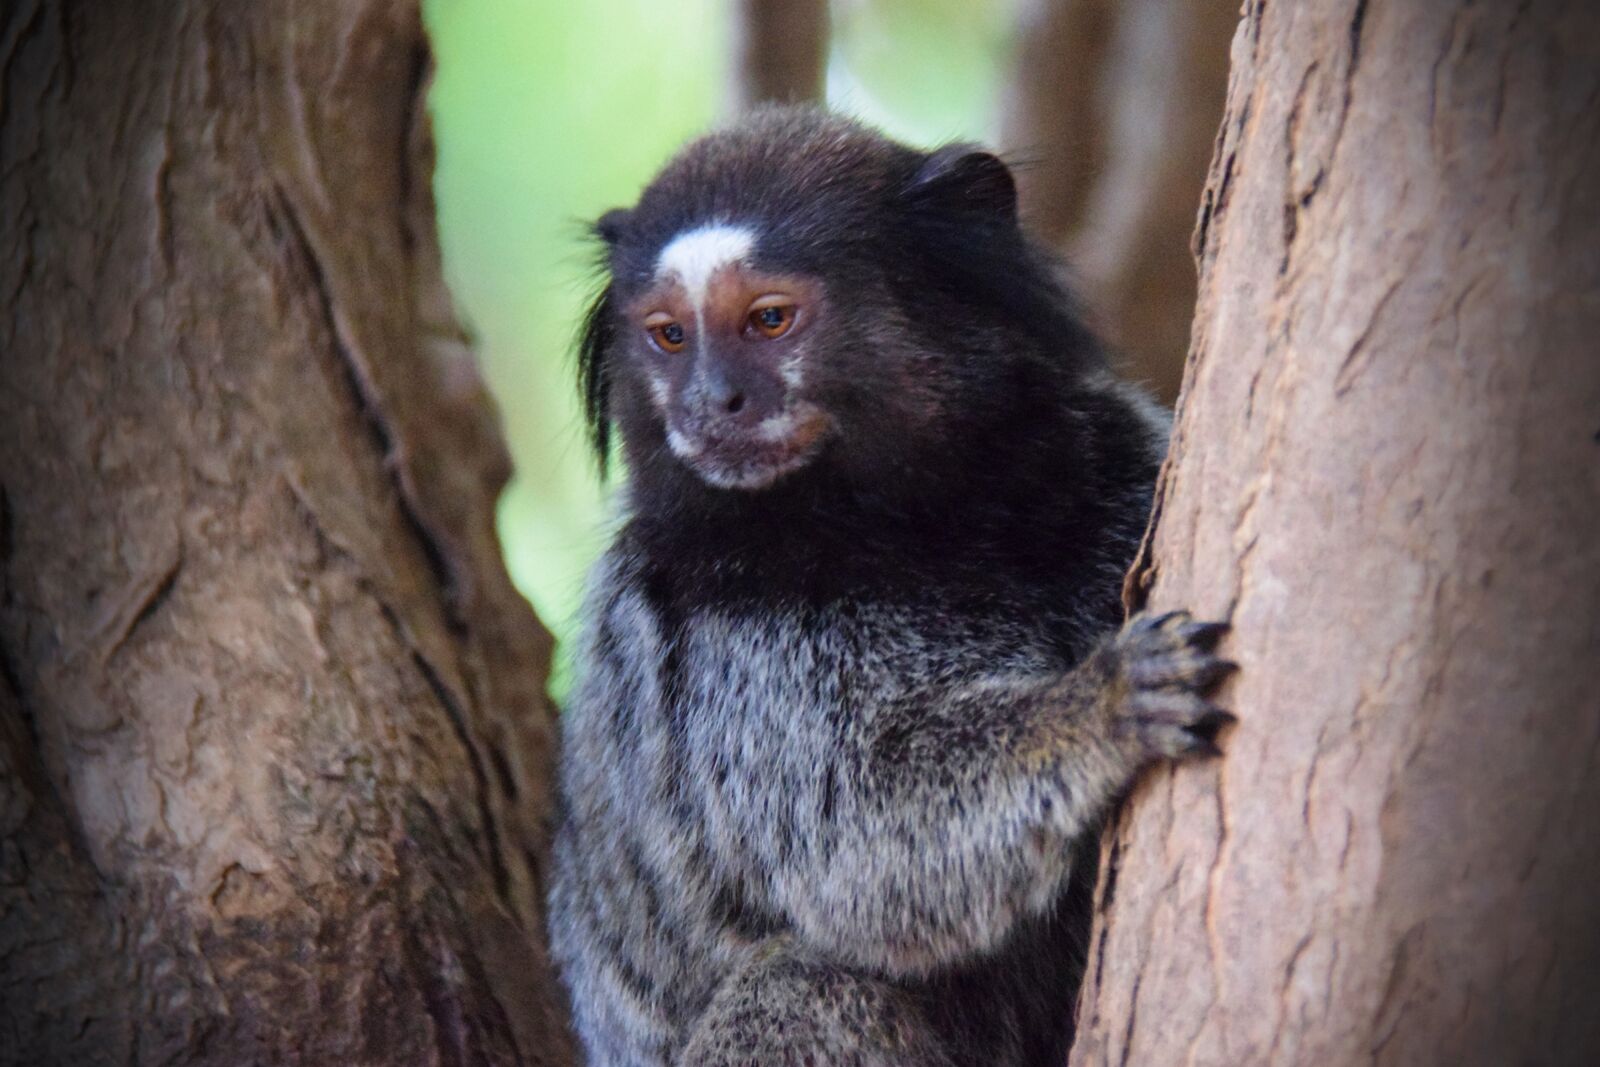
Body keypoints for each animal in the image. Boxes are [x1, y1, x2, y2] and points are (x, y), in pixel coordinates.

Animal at [547, 107, 1235, 1067]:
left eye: (768, 320)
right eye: (669, 335)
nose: (709, 403)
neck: (922, 518)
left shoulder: (1101, 449)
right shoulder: (726, 637)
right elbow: (854, 831)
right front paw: (1098, 703)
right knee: (804, 988)